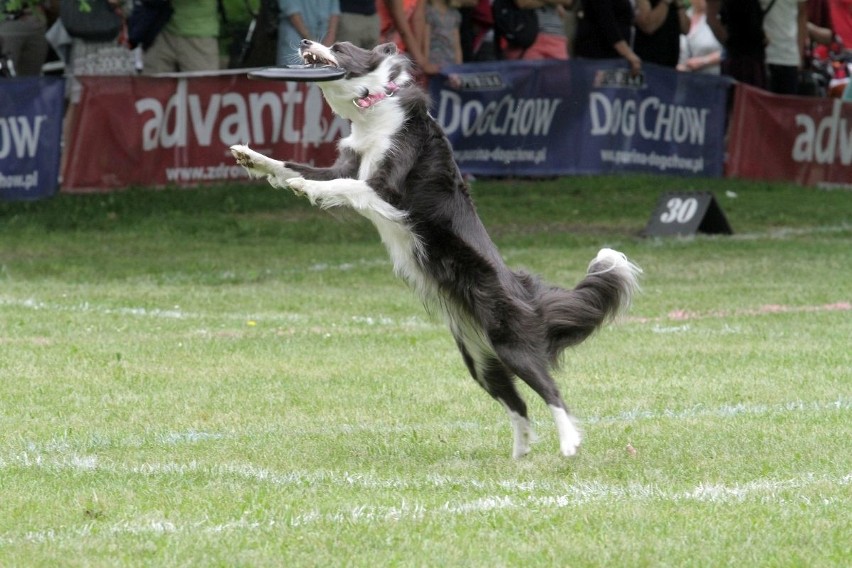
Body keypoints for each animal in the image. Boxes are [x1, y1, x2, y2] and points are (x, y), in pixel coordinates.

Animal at [230, 38, 644, 458]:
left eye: (340, 47)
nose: (304, 42)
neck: (374, 108)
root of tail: (526, 293)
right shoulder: (345, 166)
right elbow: (293, 167)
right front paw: (251, 156)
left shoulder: (386, 189)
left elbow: (340, 186)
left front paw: (307, 187)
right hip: (479, 359)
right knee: (518, 405)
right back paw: (519, 456)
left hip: (512, 343)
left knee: (552, 392)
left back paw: (569, 443)